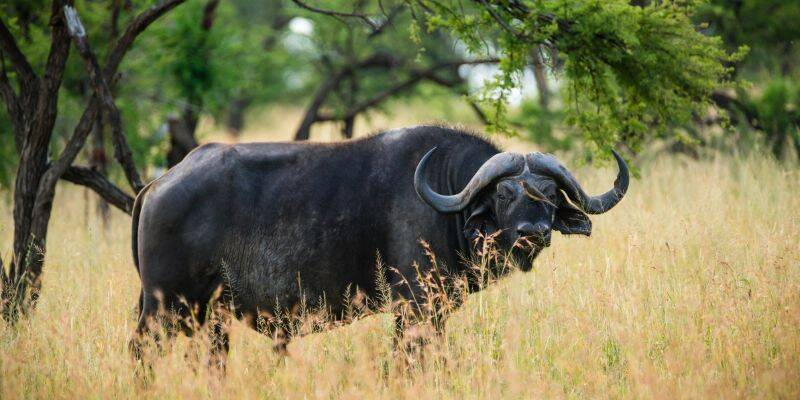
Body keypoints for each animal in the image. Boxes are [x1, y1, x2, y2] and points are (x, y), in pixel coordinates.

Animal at [130, 125, 628, 361]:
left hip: (208, 317)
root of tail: (160, 183)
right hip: (163, 309)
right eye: (505, 194)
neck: (447, 200)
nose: (533, 233)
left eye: (550, 195)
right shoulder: (416, 308)